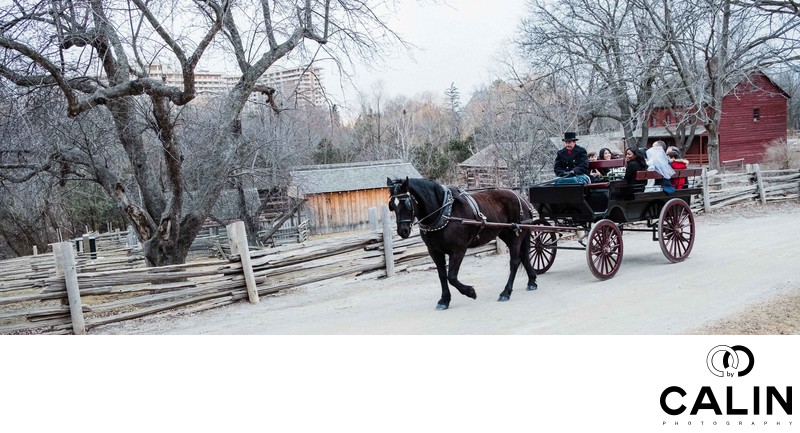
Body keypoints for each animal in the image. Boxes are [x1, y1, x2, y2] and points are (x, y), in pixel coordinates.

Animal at [386, 177, 536, 308]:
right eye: (392, 206)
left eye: (407, 203)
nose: (403, 231)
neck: (443, 212)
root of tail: (522, 198)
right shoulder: (434, 251)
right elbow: (442, 275)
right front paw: (444, 300)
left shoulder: (458, 250)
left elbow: (451, 276)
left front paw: (470, 292)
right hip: (506, 234)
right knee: (524, 257)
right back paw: (532, 281)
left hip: (516, 235)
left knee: (515, 261)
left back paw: (506, 292)